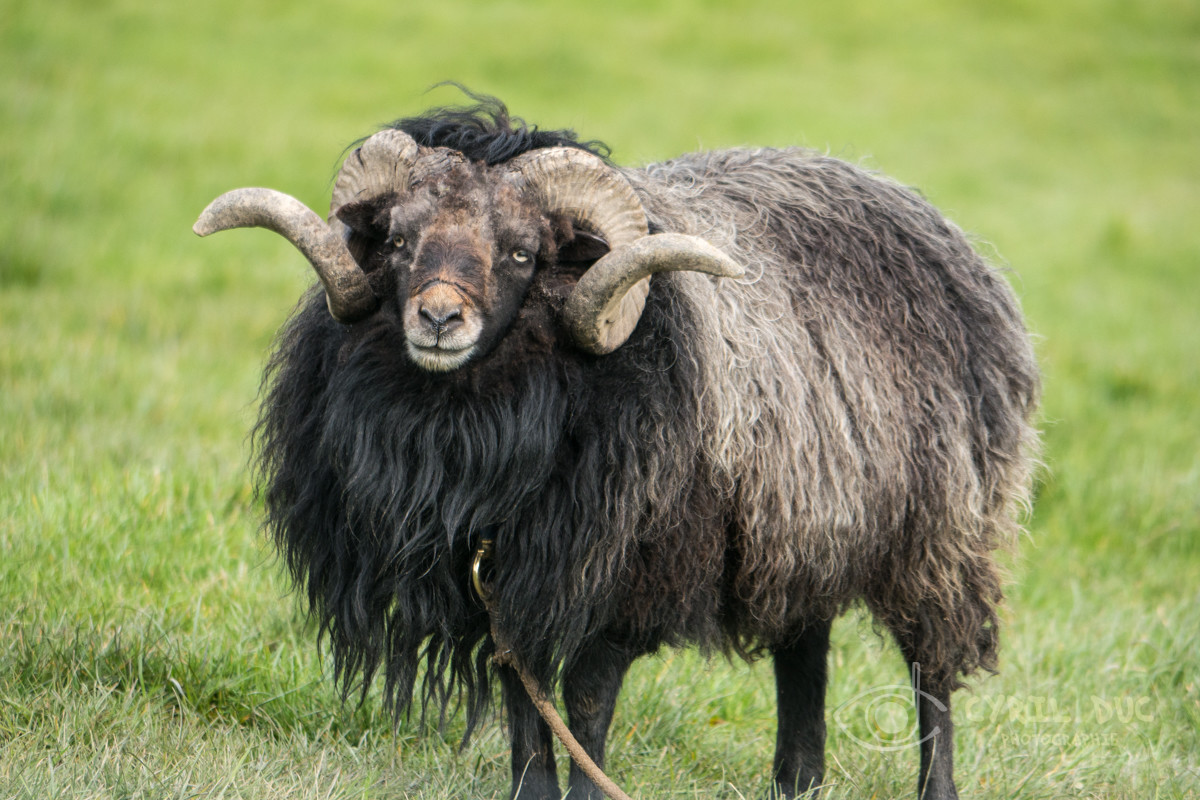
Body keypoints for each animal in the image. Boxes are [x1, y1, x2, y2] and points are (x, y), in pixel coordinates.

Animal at [196, 95, 1041, 800]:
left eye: (523, 254)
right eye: (400, 240)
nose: (437, 319)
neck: (475, 430)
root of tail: (916, 210)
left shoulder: (630, 579)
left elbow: (586, 697)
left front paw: (586, 792)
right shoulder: (508, 579)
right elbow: (524, 694)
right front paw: (532, 794)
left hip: (938, 535)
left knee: (931, 672)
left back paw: (931, 786)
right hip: (801, 531)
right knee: (805, 651)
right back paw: (795, 783)